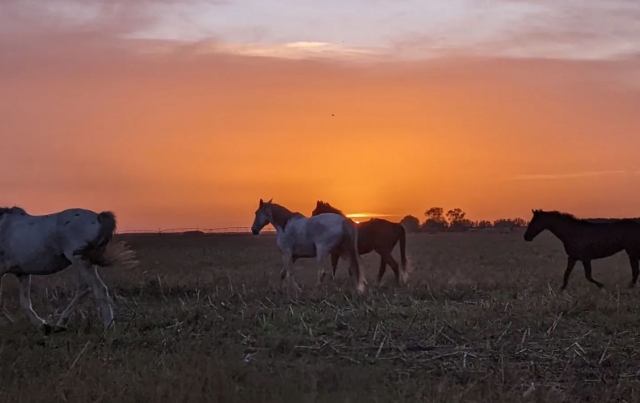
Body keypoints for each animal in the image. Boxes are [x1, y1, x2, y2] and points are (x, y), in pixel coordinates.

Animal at [0, 206, 135, 332]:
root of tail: (98, 217)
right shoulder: (22, 273)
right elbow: (25, 302)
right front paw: (43, 326)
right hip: (84, 263)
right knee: (84, 289)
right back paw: (60, 324)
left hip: (81, 262)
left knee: (99, 289)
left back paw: (109, 326)